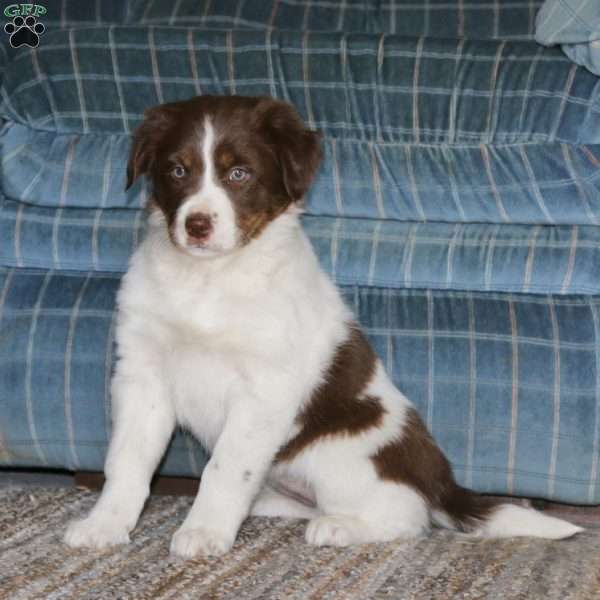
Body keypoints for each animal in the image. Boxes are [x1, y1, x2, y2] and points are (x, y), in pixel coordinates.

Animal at [64, 95, 580, 556]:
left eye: (239, 174)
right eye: (177, 171)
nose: (197, 225)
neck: (209, 280)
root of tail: (440, 481)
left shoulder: (263, 389)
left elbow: (224, 468)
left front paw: (204, 532)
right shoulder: (142, 375)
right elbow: (127, 461)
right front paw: (105, 525)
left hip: (341, 449)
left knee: (408, 515)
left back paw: (340, 527)